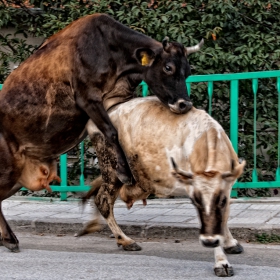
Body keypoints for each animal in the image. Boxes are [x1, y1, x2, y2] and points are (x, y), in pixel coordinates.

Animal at [0, 13, 202, 252]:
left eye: (187, 71)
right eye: (168, 67)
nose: (184, 104)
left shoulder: (114, 99)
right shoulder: (88, 99)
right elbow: (112, 132)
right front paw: (124, 171)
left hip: (17, 177)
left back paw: (10, 239)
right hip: (8, 168)